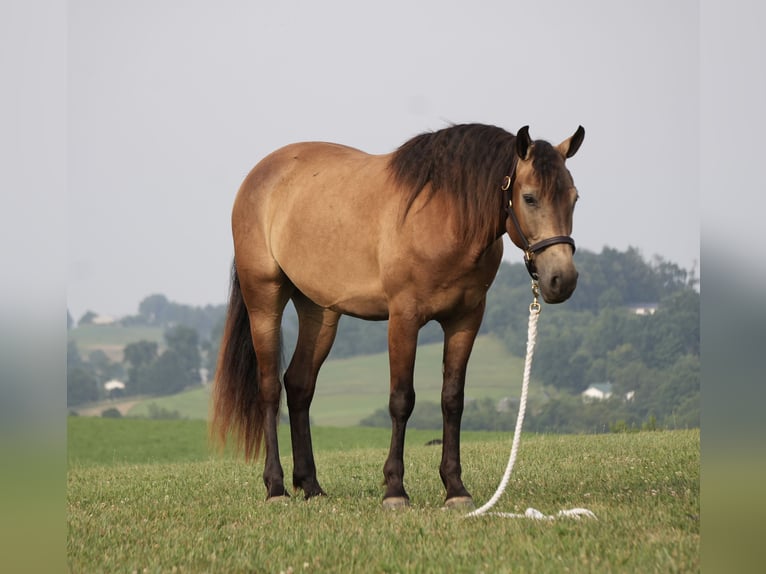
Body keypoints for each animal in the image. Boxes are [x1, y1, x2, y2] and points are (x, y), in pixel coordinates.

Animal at [211, 123, 585, 509]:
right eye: (529, 197)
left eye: (573, 198)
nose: (562, 279)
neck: (444, 215)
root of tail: (260, 175)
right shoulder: (404, 318)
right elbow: (402, 399)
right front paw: (394, 490)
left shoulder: (465, 319)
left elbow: (453, 400)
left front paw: (455, 489)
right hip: (264, 300)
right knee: (270, 388)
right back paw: (276, 487)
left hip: (319, 310)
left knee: (299, 385)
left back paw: (311, 486)